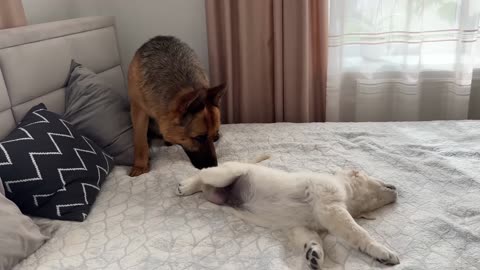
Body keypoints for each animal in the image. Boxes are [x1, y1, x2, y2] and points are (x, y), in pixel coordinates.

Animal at [127, 36, 225, 177]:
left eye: (211, 135)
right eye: (199, 137)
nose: (214, 168)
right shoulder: (138, 109)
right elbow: (140, 139)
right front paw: (140, 165)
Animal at [175, 159, 398, 268]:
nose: (396, 188)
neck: (347, 191)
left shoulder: (301, 227)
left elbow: (312, 239)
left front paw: (315, 254)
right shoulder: (330, 206)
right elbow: (359, 233)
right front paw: (382, 251)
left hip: (218, 186)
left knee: (205, 184)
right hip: (225, 174)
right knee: (202, 172)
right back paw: (185, 185)